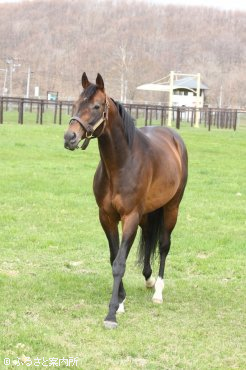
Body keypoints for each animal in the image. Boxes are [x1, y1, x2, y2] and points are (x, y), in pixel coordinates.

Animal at [64, 73, 188, 330]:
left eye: (96, 106)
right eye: (76, 103)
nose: (70, 137)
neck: (121, 164)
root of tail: (174, 138)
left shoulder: (129, 217)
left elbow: (120, 262)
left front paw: (111, 313)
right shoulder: (107, 217)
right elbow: (114, 257)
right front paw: (121, 301)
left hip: (171, 208)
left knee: (163, 245)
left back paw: (158, 291)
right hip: (148, 214)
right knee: (149, 239)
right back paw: (148, 279)